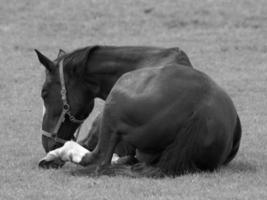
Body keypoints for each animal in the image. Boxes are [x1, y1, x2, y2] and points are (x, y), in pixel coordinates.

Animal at [36, 45, 243, 177]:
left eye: (44, 93)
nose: (47, 143)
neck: (148, 60)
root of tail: (199, 108)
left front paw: (52, 157)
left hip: (112, 113)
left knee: (99, 160)